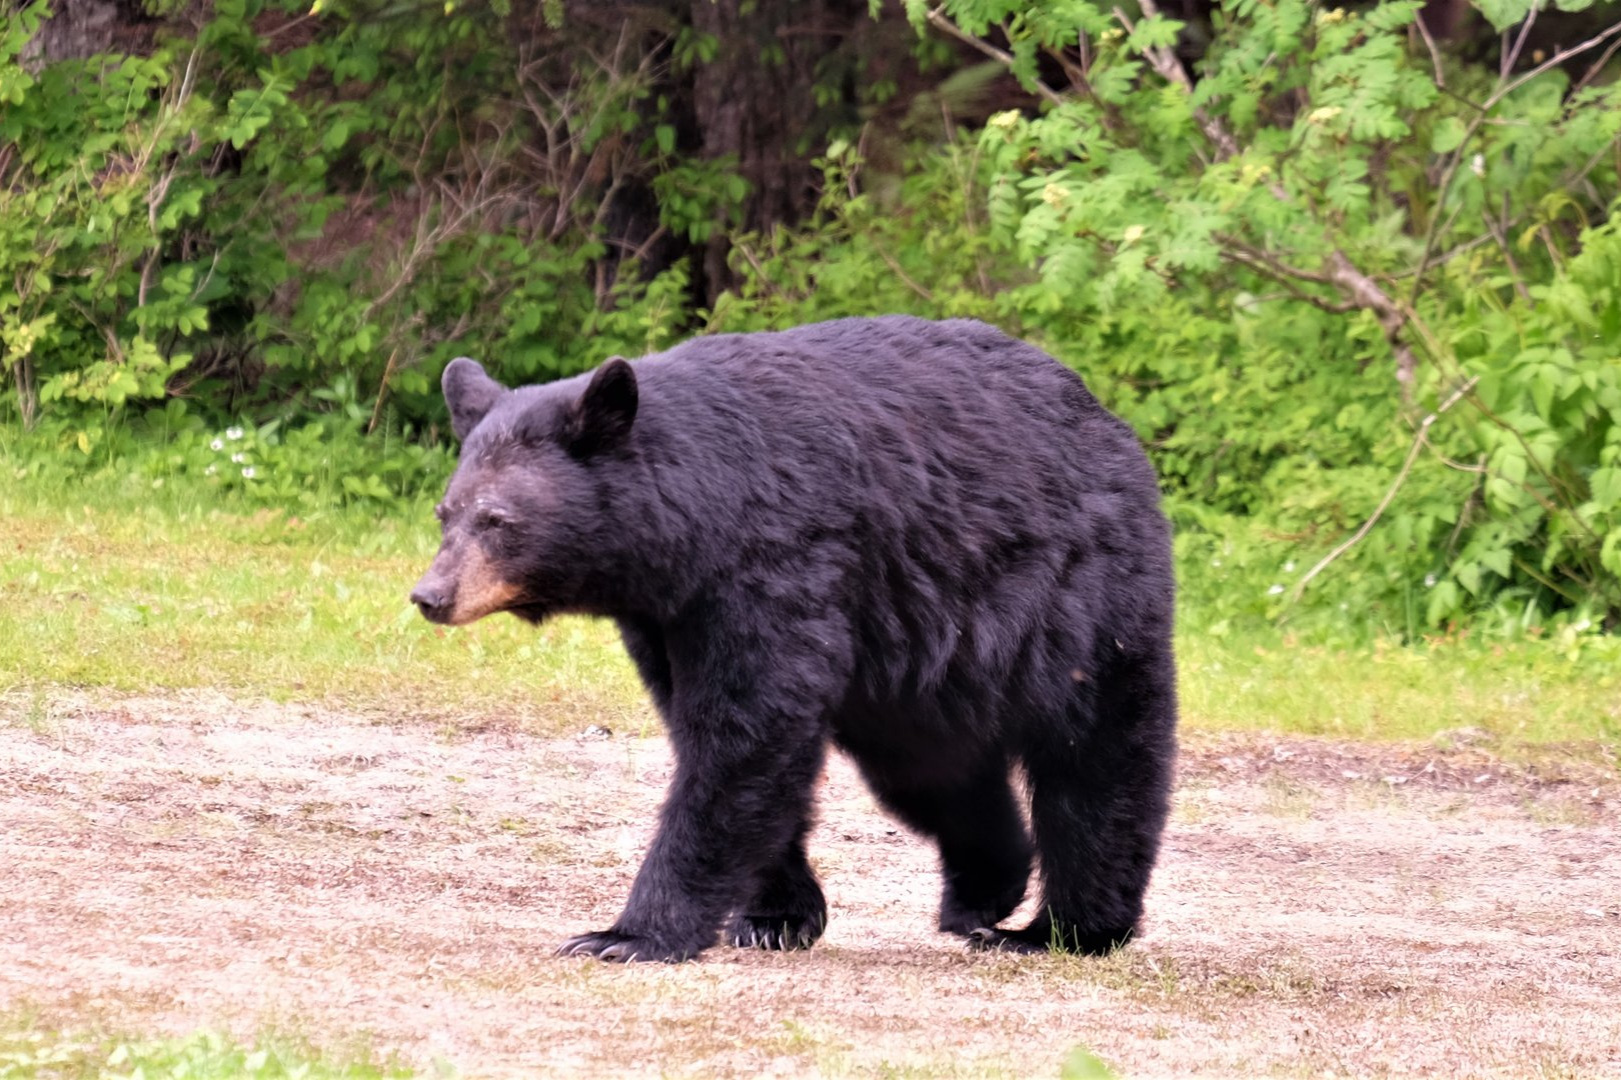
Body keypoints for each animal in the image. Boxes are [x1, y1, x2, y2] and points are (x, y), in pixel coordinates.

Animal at [410, 315, 1177, 963]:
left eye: (498, 520)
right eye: (446, 511)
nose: (430, 595)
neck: (694, 523)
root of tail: (1107, 419)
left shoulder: (775, 563)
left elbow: (748, 732)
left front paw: (625, 934)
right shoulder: (669, 616)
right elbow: (717, 735)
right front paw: (775, 917)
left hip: (1077, 597)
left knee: (1097, 754)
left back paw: (1066, 928)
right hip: (914, 666)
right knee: (932, 771)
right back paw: (983, 891)